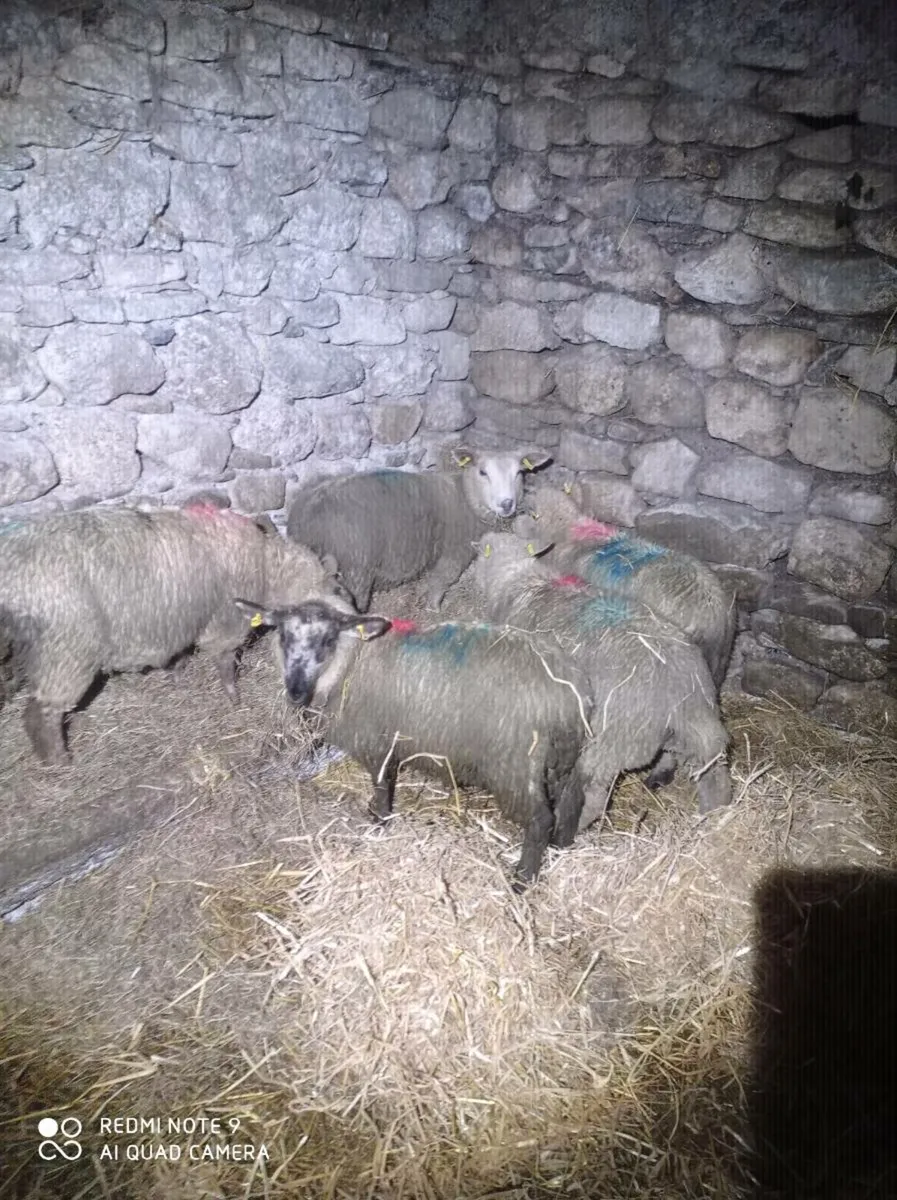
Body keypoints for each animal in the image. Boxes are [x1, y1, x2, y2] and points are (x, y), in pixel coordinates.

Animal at [0, 502, 339, 765]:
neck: (267, 568)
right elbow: (226, 663)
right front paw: (234, 699)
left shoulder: (183, 618)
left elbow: (182, 653)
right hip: (65, 651)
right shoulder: (225, 623)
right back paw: (59, 760)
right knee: (40, 715)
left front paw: (177, 675)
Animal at [236, 596, 588, 889]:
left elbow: (381, 789)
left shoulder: (376, 741)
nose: (295, 692)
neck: (353, 662)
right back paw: (561, 847)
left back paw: (522, 880)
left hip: (514, 762)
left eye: (327, 640)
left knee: (540, 820)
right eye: (283, 637)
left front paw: (378, 825)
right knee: (572, 800)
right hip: (563, 757)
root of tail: (567, 695)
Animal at [286, 448, 551, 612]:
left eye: (519, 473)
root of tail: (309, 513)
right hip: (355, 570)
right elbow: (439, 583)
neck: (465, 497)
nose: (507, 504)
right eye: (483, 472)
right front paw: (434, 609)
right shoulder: (453, 554)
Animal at [474, 534, 733, 832]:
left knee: (596, 796)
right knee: (713, 774)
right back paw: (714, 816)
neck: (518, 580)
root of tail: (680, 698)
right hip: (701, 725)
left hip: (611, 743)